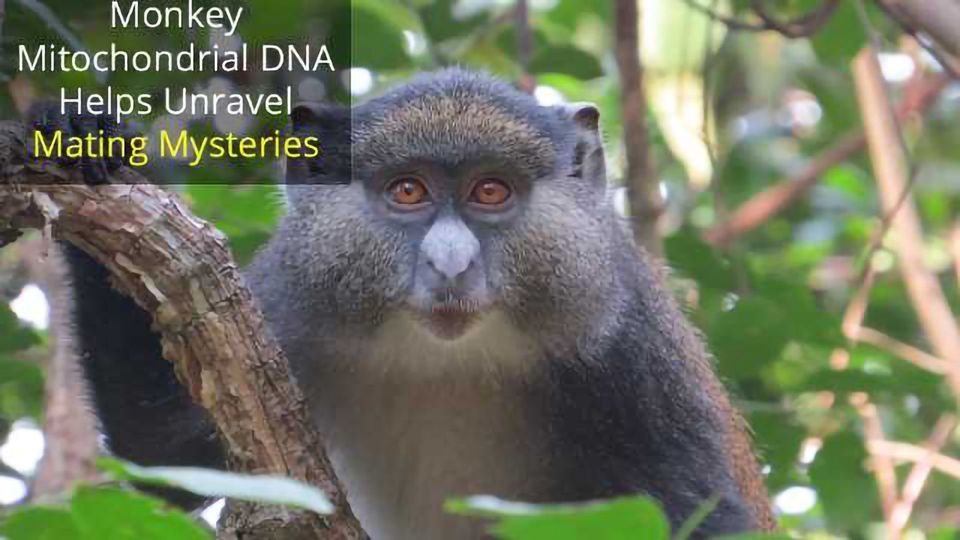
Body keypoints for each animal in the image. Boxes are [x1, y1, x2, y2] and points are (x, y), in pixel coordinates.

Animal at [46, 69, 774, 539]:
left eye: (490, 192)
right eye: (407, 191)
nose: (450, 263)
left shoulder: (626, 335)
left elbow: (703, 513)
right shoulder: (285, 307)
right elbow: (168, 453)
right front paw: (83, 137)